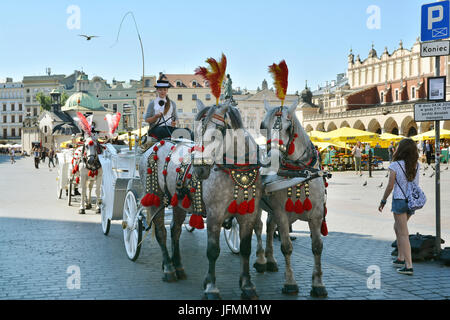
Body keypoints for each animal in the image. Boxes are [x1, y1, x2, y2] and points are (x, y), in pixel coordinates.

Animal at [138, 100, 264, 300]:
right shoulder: (215, 214)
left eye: (219, 130)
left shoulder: (248, 215)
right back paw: (168, 268)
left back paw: (178, 265)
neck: (237, 171)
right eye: (197, 131)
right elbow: (212, 251)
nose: (199, 168)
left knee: (175, 230)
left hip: (178, 203)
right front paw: (211, 287)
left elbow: (245, 248)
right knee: (161, 233)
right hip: (155, 198)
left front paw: (247, 286)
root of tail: (155, 144)